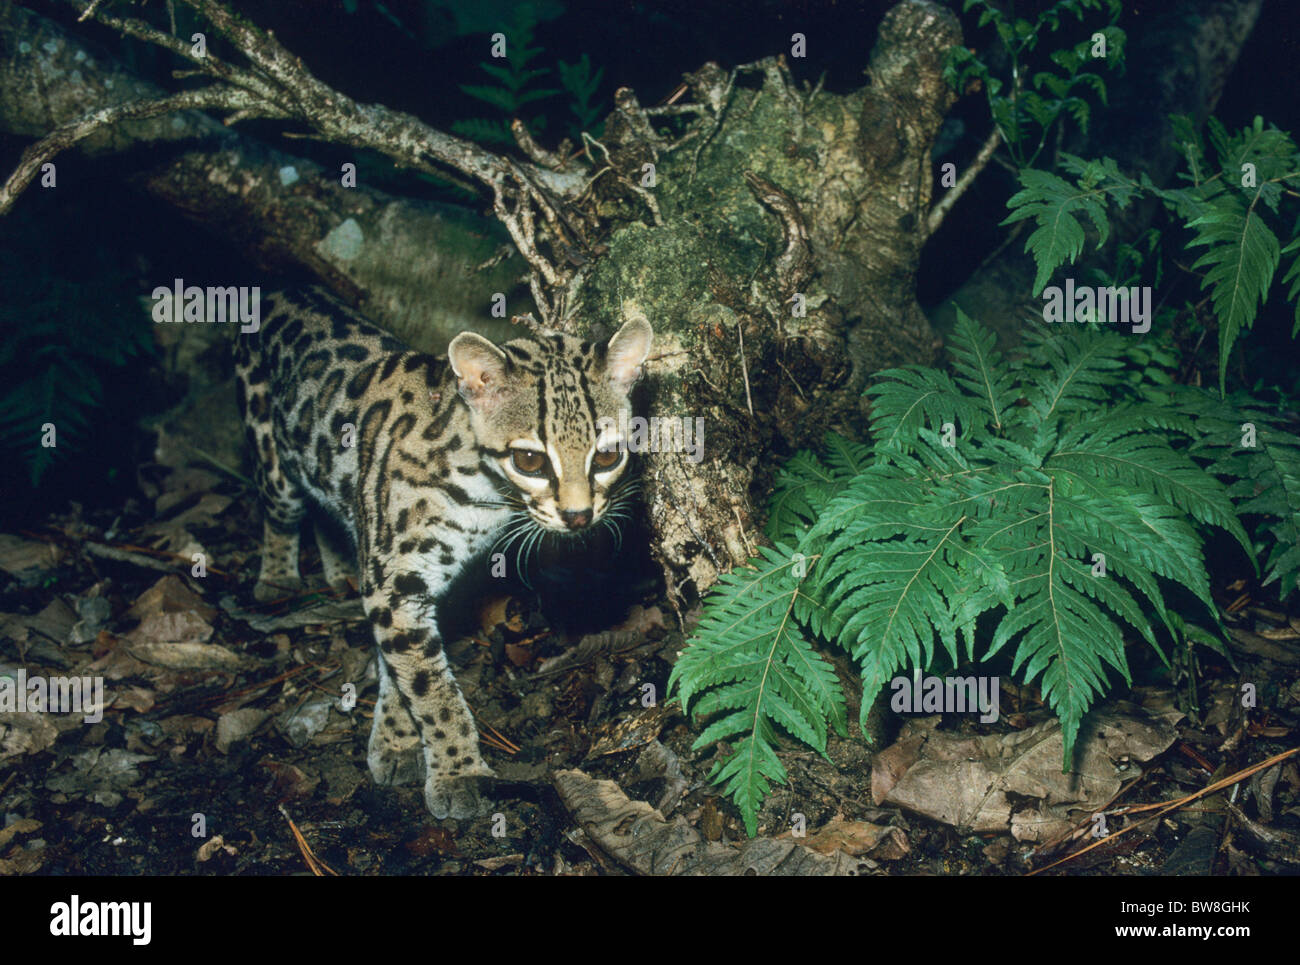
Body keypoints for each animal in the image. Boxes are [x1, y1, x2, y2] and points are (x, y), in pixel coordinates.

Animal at [233, 291, 650, 821]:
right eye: (530, 460)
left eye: (608, 456)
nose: (578, 516)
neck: (483, 493)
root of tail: (281, 289)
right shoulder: (395, 581)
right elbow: (430, 687)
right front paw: (457, 770)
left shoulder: (419, 583)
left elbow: (404, 670)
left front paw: (397, 739)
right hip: (272, 456)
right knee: (282, 511)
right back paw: (278, 577)